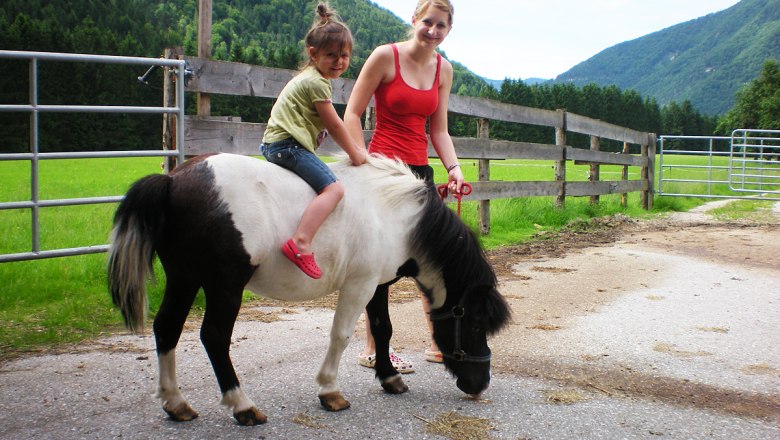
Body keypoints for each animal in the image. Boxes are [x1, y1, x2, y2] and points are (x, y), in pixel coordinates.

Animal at [109, 153, 512, 424]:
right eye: (475, 323)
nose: (480, 384)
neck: (394, 214)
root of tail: (175, 180)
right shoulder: (359, 285)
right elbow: (342, 335)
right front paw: (330, 391)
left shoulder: (377, 284)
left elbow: (382, 329)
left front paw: (389, 378)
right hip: (225, 286)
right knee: (214, 337)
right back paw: (242, 405)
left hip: (184, 278)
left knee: (167, 329)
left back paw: (175, 403)